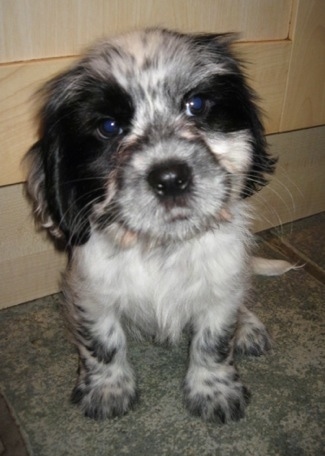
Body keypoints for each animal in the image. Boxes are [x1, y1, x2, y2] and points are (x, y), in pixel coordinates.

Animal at [26, 28, 278, 424]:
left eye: (197, 105)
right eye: (109, 127)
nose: (171, 177)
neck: (161, 247)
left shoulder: (221, 288)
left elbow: (213, 341)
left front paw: (215, 390)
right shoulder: (91, 293)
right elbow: (104, 342)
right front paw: (108, 390)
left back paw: (249, 327)